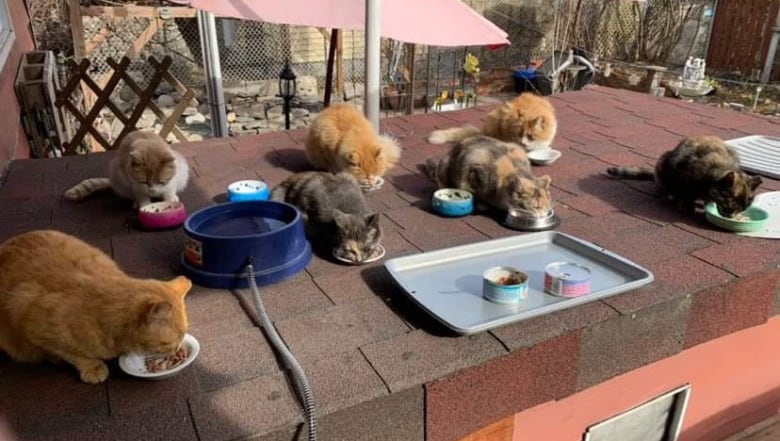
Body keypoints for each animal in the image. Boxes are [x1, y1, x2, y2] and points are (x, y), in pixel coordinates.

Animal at [0, 229, 192, 384]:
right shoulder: (36, 329)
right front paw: (92, 368)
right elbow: (74, 355)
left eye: (183, 335)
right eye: (169, 342)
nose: (177, 349)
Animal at [426, 134, 556, 217]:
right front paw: (482, 205)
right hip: (445, 164)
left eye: (547, 205)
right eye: (536, 207)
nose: (544, 215)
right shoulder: (473, 169)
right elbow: (471, 191)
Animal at [604, 134, 760, 217]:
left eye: (743, 207)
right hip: (663, 161)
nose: (731, 216)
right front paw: (687, 206)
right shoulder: (686, 175)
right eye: (730, 206)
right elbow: (687, 192)